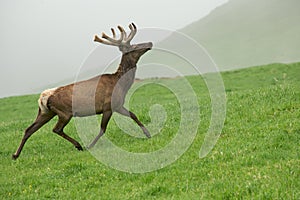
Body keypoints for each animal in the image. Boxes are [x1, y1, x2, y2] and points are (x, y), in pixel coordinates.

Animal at [12, 23, 152, 159]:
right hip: (64, 112)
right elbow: (103, 129)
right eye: (133, 46)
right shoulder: (108, 106)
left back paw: (15, 155)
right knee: (56, 129)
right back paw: (78, 145)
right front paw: (90, 145)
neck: (121, 85)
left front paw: (148, 133)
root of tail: (43, 97)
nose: (150, 43)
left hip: (45, 112)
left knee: (29, 129)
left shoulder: (117, 105)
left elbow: (133, 115)